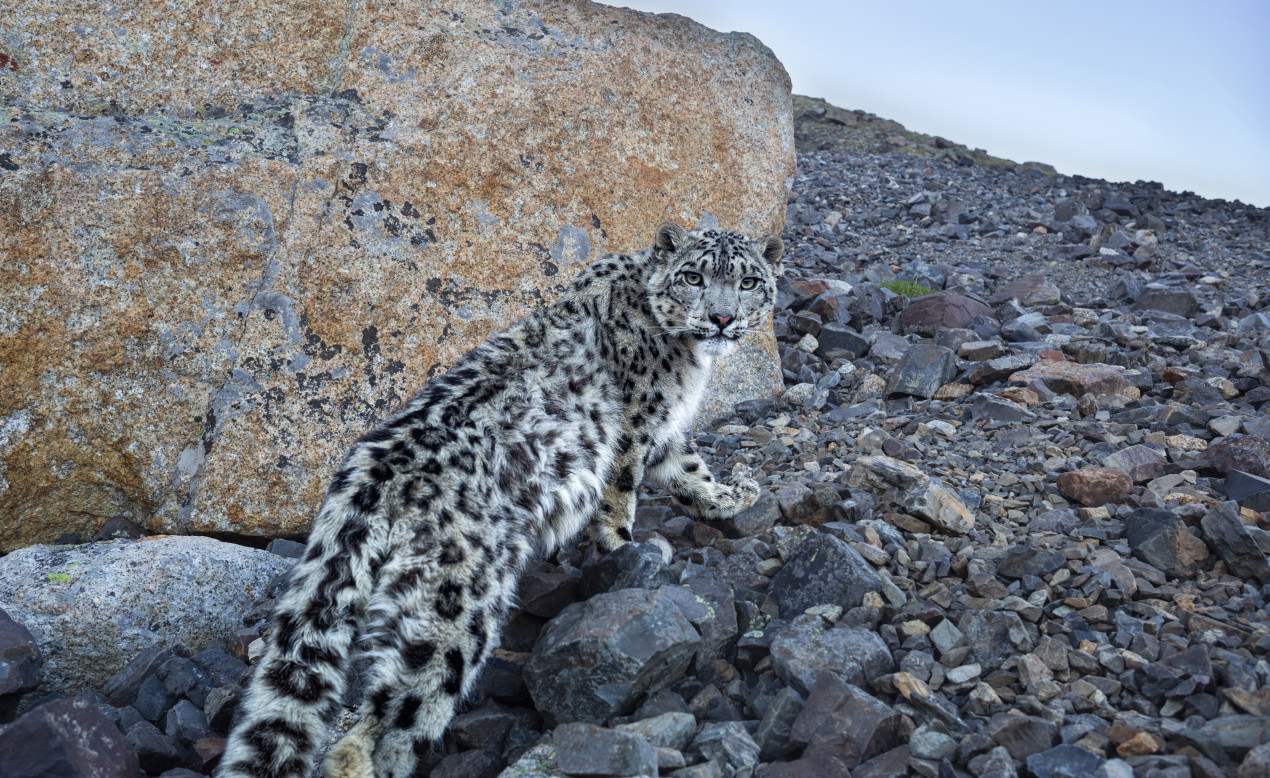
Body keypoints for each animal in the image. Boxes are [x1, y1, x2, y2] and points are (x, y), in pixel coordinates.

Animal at [218, 222, 782, 776]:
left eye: (749, 282)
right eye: (692, 276)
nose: (722, 317)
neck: (688, 362)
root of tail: (370, 476)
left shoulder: (663, 433)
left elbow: (689, 469)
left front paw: (732, 495)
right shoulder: (634, 430)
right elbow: (620, 497)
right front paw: (631, 550)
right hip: (454, 605)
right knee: (386, 723)